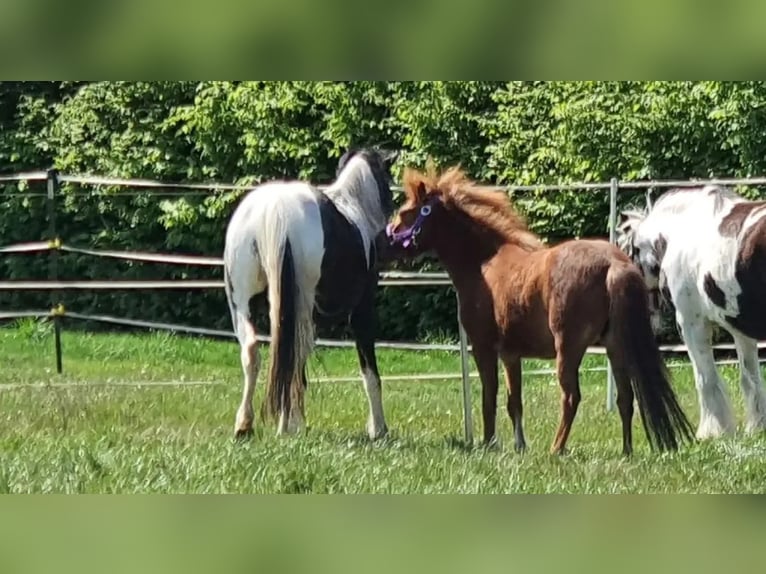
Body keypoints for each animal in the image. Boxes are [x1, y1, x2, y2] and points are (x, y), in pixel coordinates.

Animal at [223, 147, 398, 440]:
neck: (354, 209)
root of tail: (276, 211)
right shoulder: (361, 310)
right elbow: (369, 371)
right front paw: (378, 428)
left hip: (245, 303)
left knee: (254, 352)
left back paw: (246, 425)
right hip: (299, 306)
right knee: (291, 357)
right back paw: (287, 425)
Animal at [385, 163, 695, 456]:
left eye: (407, 212)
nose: (386, 241)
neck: (484, 262)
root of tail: (613, 265)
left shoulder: (484, 347)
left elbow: (489, 397)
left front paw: (489, 443)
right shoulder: (511, 355)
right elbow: (514, 402)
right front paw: (519, 445)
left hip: (569, 348)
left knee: (571, 397)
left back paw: (556, 448)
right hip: (615, 346)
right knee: (625, 398)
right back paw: (626, 450)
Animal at [618, 185, 766, 440]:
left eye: (628, 255)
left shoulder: (691, 324)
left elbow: (705, 379)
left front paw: (712, 432)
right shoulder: (739, 329)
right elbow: (750, 378)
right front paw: (756, 427)